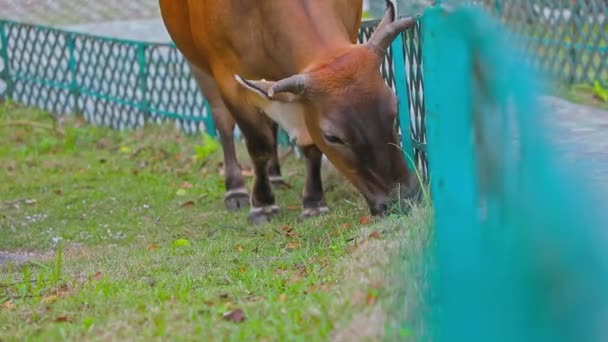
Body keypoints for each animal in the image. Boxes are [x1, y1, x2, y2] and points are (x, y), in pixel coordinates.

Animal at [159, 0, 420, 224]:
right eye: (333, 137)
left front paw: (313, 203)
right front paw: (263, 205)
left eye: (395, 107)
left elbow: (309, 146)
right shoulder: (227, 77)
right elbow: (259, 145)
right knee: (223, 123)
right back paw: (235, 190)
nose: (403, 200)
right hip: (198, 64)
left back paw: (275, 176)